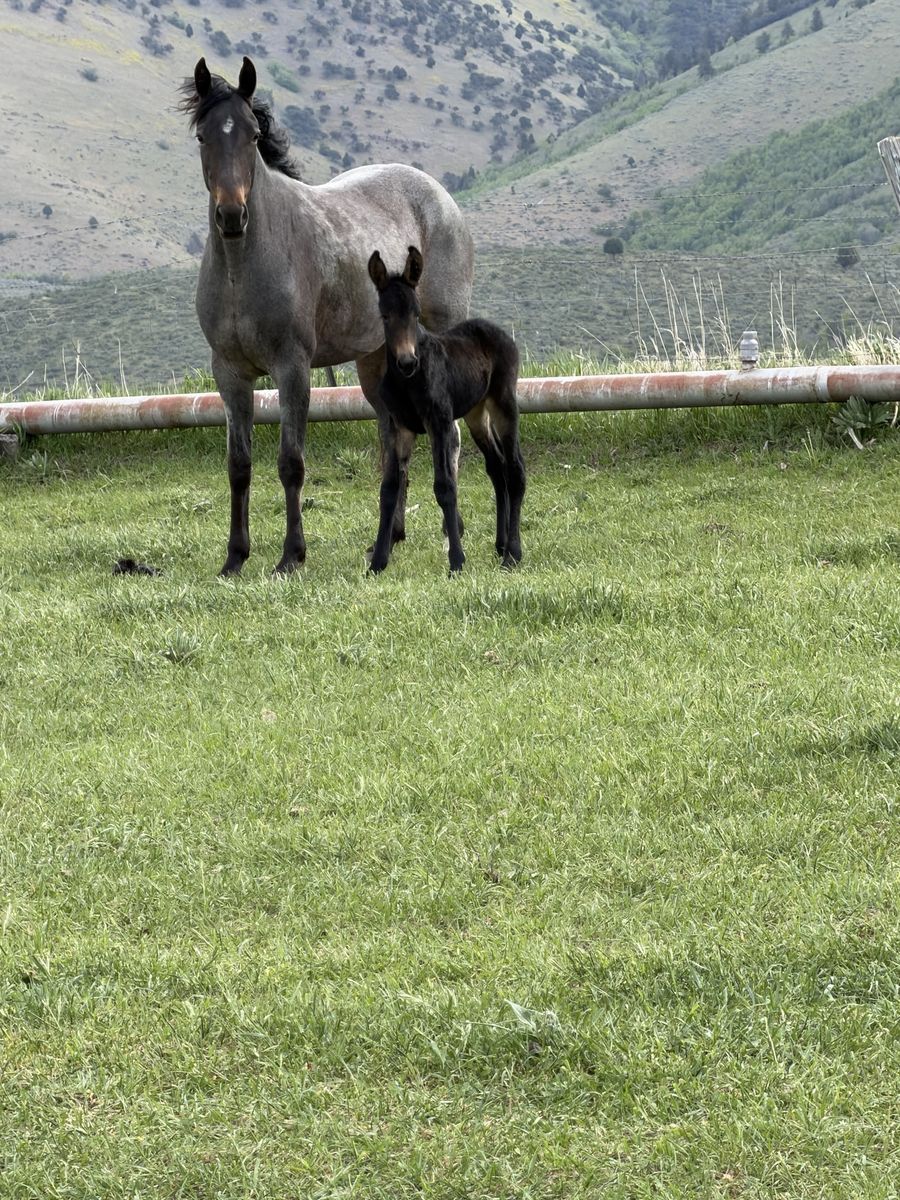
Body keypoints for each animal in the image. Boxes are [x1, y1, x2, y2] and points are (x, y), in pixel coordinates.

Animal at [179, 56, 474, 575]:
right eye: (203, 136)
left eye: (253, 135)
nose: (232, 216)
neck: (242, 267)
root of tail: (441, 195)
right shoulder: (229, 373)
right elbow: (239, 466)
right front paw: (234, 558)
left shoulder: (292, 368)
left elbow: (291, 462)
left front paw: (291, 557)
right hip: (376, 362)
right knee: (393, 441)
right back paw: (390, 538)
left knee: (449, 438)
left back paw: (448, 533)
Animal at [366, 246, 526, 575]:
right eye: (385, 316)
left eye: (416, 314)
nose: (407, 362)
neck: (407, 383)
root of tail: (495, 330)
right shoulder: (399, 426)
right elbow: (389, 489)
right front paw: (377, 563)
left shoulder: (437, 421)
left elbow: (445, 486)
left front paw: (456, 561)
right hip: (476, 413)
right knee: (497, 466)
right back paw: (500, 544)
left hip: (503, 402)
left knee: (514, 468)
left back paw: (513, 554)